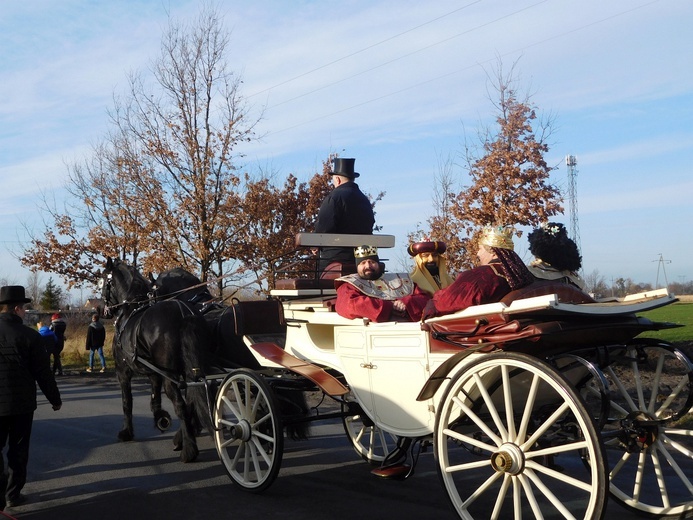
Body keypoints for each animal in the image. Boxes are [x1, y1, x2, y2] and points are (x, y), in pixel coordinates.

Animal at [100, 258, 211, 462]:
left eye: (103, 281)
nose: (104, 311)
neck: (131, 308)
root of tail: (183, 312)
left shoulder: (123, 371)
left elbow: (127, 402)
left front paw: (126, 432)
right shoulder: (154, 373)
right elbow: (154, 397)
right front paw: (161, 418)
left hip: (171, 376)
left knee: (181, 406)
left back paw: (188, 449)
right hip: (191, 373)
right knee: (192, 401)